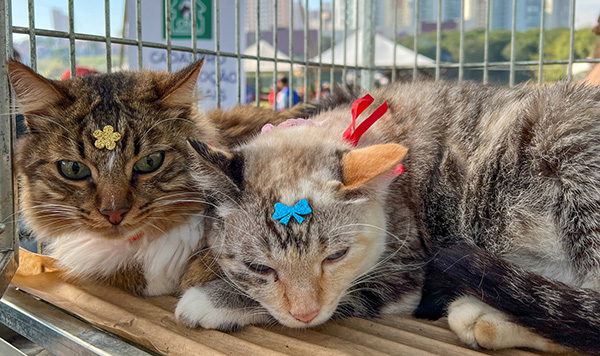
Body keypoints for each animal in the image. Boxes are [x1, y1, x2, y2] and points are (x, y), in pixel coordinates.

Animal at [176, 82, 600, 354]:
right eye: (260, 268)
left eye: (336, 257)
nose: (306, 313)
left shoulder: (407, 270)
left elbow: (352, 296)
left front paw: (208, 300)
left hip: (567, 147)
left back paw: (484, 317)